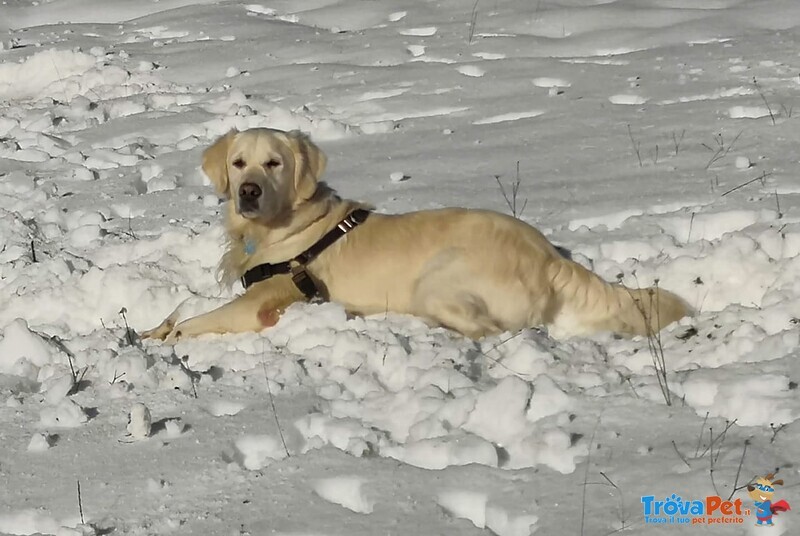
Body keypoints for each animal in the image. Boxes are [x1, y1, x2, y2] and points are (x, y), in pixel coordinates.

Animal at [142, 127, 688, 342]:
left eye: (274, 163)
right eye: (239, 163)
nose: (248, 191)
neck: (281, 227)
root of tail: (550, 256)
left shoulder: (268, 301)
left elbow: (201, 321)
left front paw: (172, 338)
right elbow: (181, 308)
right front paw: (150, 329)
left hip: (438, 279)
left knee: (488, 331)